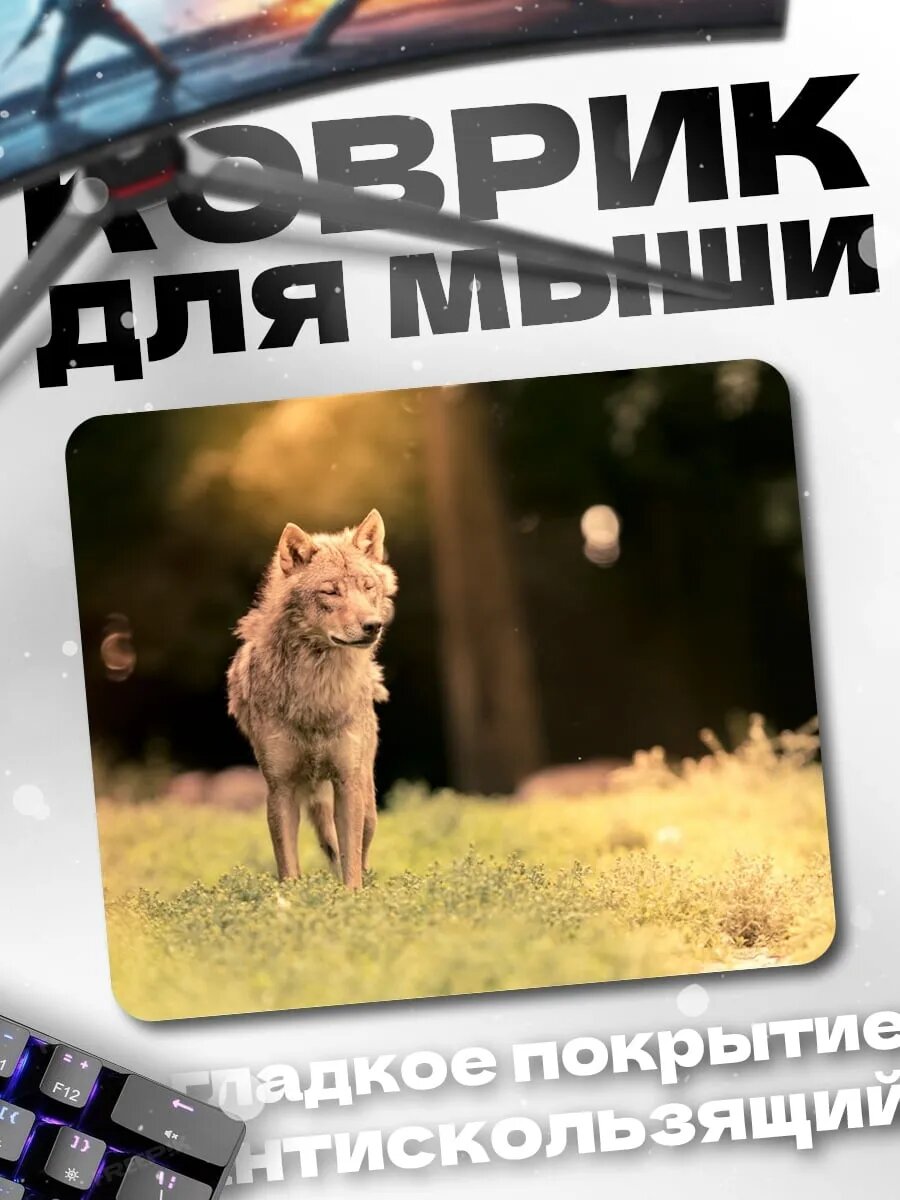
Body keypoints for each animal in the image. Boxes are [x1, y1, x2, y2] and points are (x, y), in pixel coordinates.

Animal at [227, 510, 396, 889]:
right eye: (330, 591)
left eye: (367, 587)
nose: (373, 625)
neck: (317, 694)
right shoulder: (280, 789)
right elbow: (288, 868)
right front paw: (296, 900)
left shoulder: (347, 785)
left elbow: (351, 869)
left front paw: (350, 898)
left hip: (368, 806)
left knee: (360, 855)